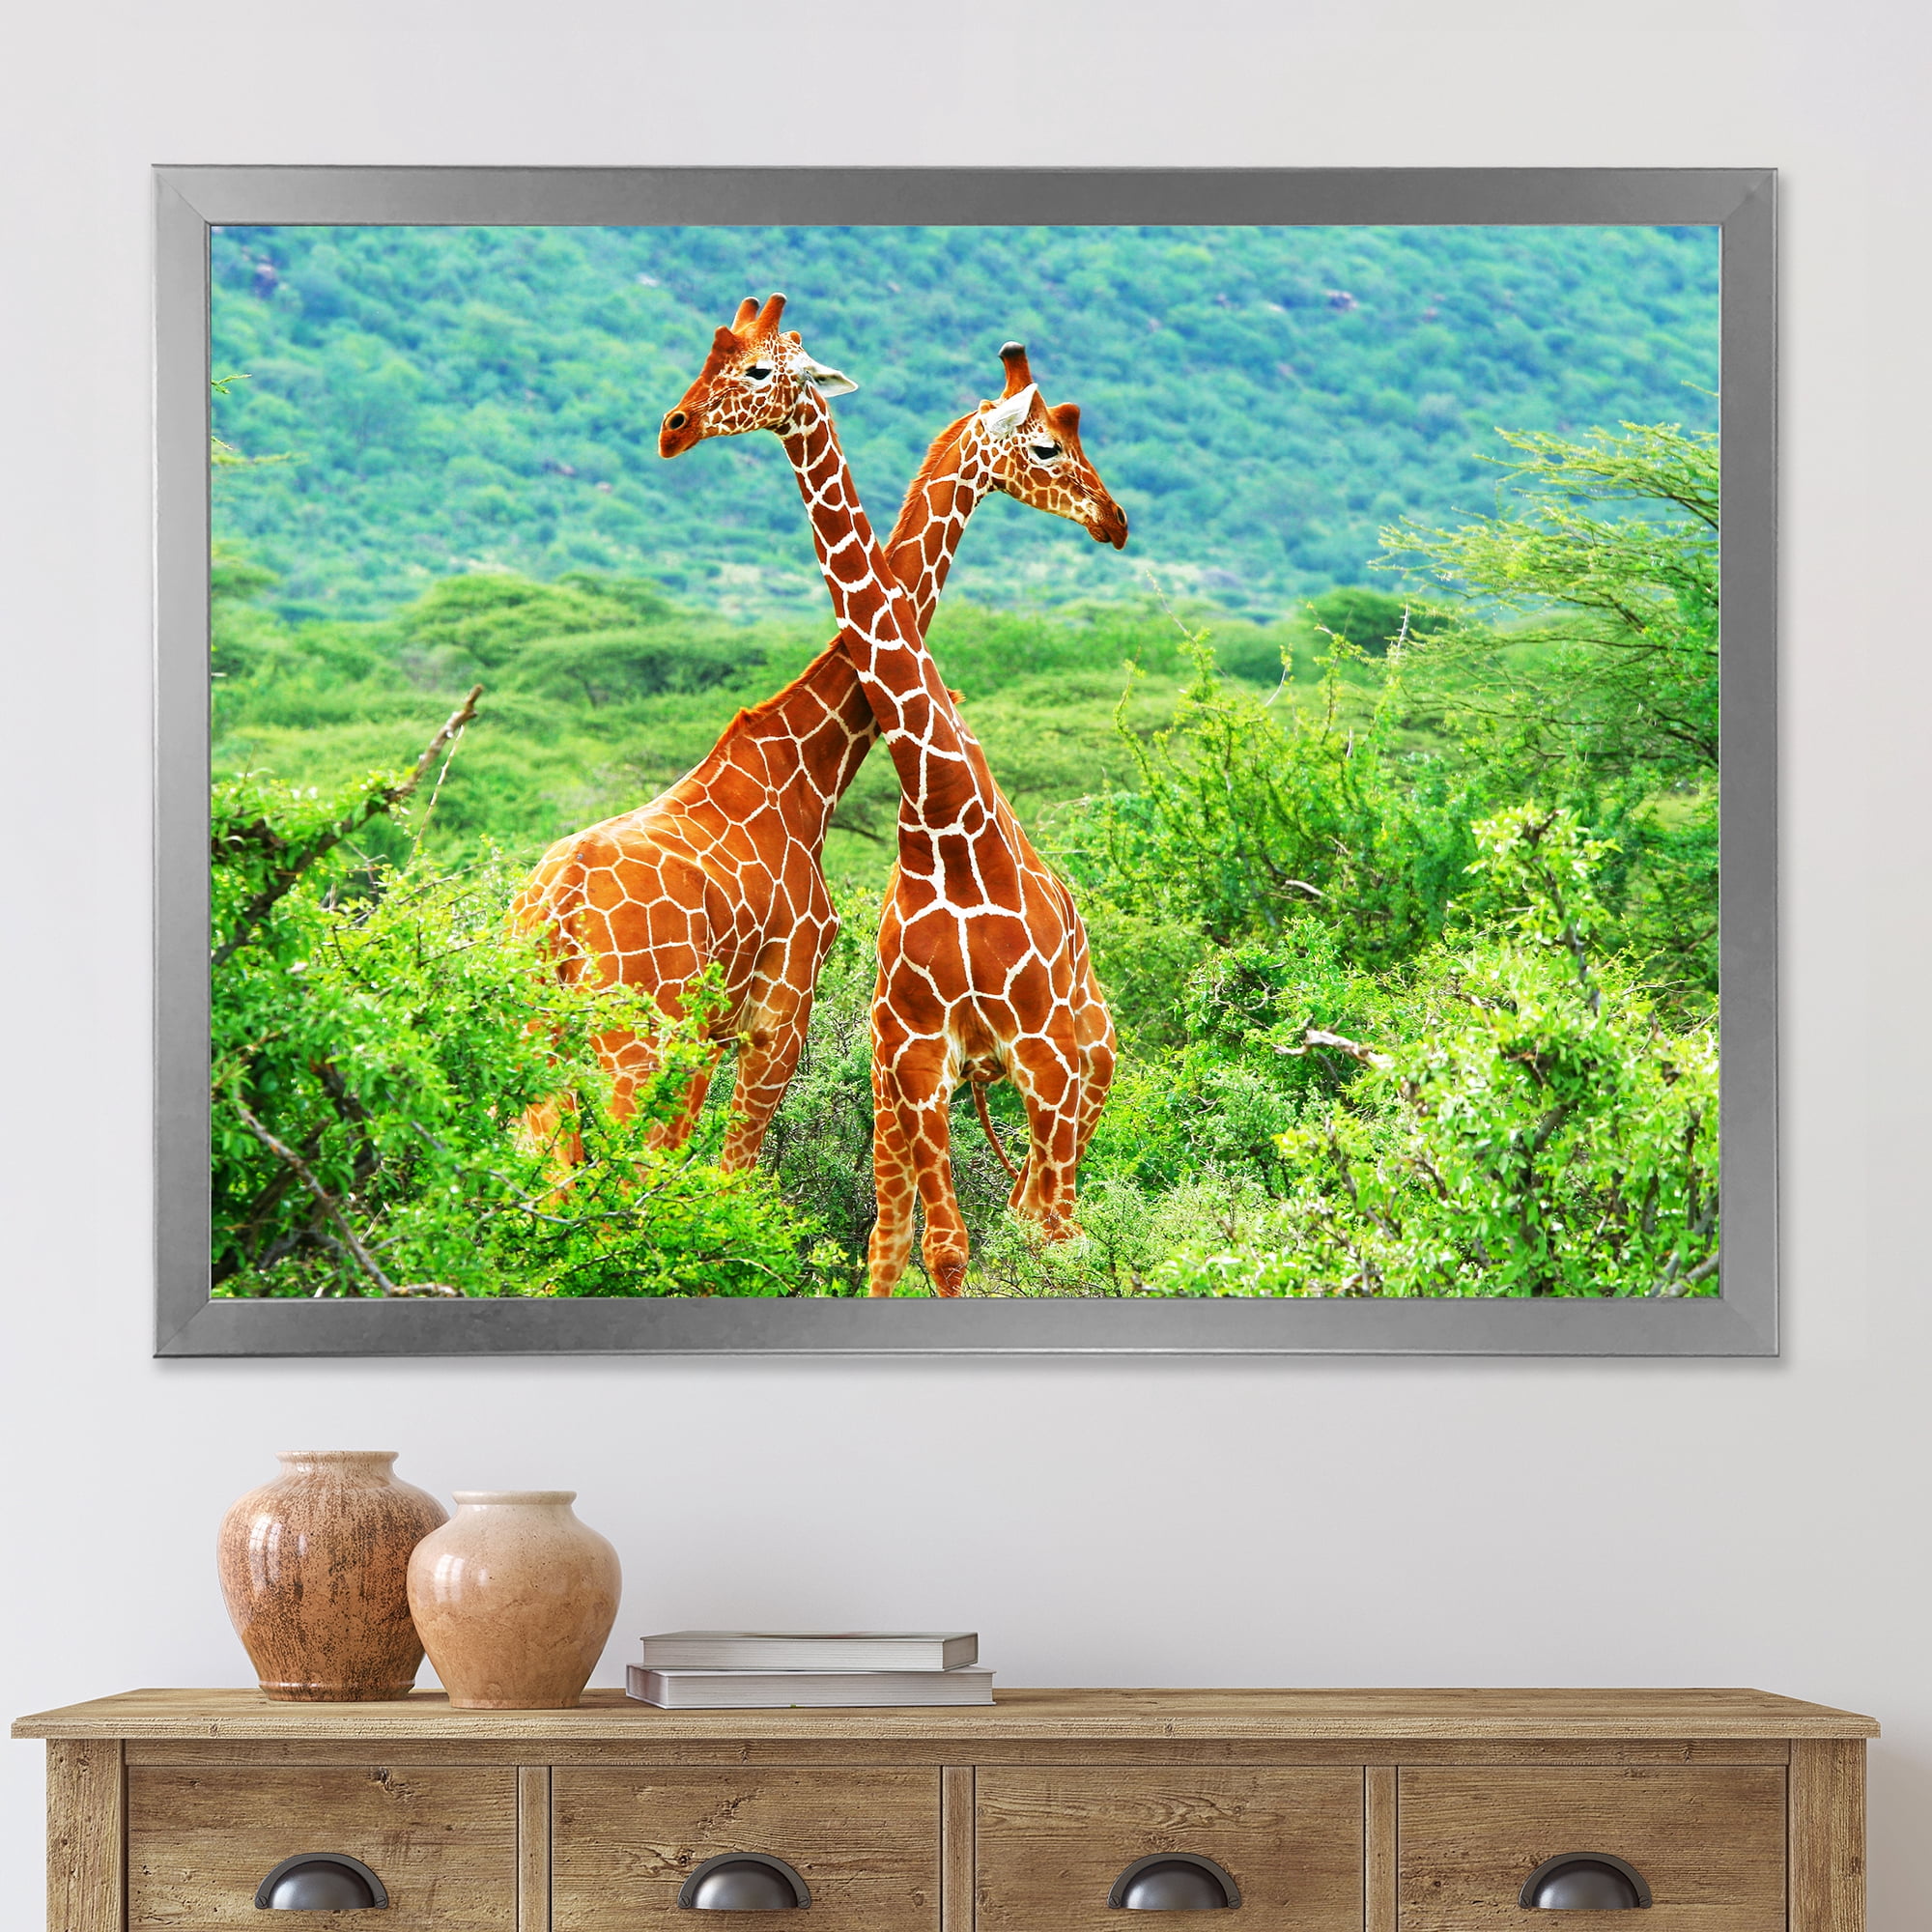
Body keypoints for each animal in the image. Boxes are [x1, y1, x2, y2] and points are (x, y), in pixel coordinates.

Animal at [513, 337, 1124, 1174]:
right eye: (1048, 446)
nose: (1113, 518)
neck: (808, 769)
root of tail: (557, 912)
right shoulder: (778, 1014)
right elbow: (728, 1178)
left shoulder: (719, 1030)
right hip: (632, 1038)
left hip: (540, 1037)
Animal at [659, 294, 1127, 1296]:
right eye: (1048, 445)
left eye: (758, 368)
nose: (1114, 520)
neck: (943, 818)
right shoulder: (914, 1057)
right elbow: (937, 1248)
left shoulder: (1043, 1059)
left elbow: (1025, 1237)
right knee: (918, 1227)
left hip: (1088, 1065)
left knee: (1055, 1221)